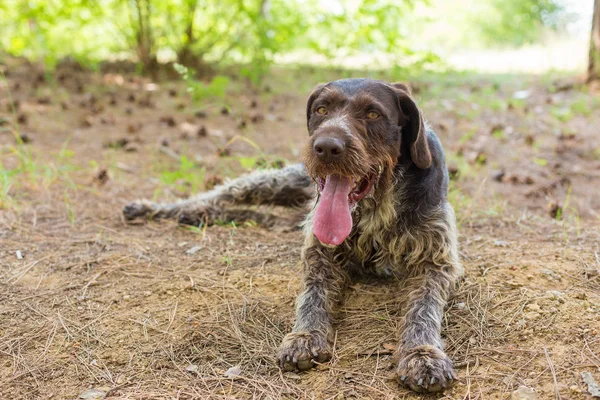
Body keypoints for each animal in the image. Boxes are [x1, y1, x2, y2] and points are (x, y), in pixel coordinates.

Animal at [123, 79, 464, 394]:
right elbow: (313, 295)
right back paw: (161, 208)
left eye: (373, 113)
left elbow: (423, 308)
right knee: (222, 194)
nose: (326, 147)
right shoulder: (320, 253)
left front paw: (422, 354)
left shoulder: (435, 262)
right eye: (322, 110)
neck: (376, 208)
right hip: (275, 182)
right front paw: (305, 336)